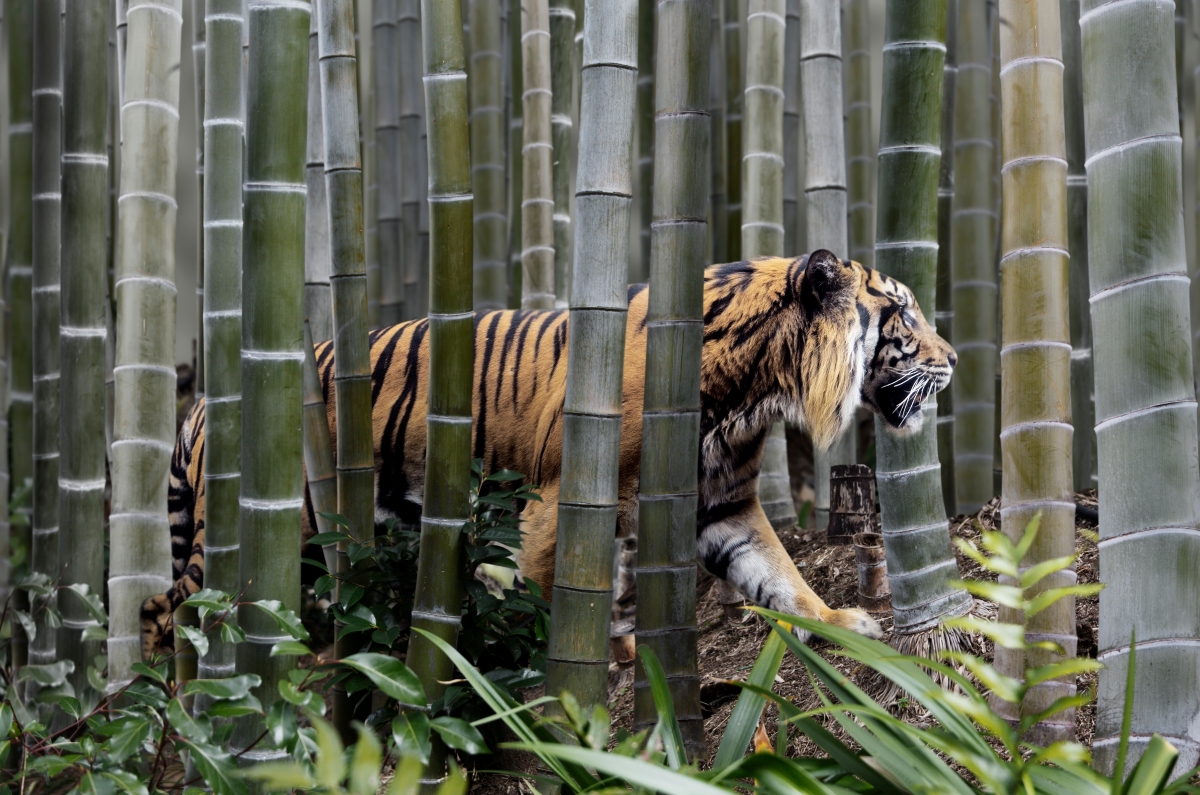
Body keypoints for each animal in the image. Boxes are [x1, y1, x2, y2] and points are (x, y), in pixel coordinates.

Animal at [143, 250, 957, 656]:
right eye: (905, 314)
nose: (954, 360)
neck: (756, 381)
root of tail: (202, 406)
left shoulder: (721, 501)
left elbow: (779, 575)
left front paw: (843, 620)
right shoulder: (561, 493)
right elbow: (543, 595)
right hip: (258, 530)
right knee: (167, 612)